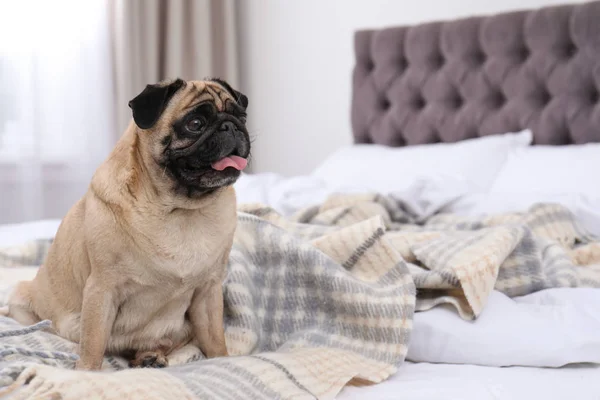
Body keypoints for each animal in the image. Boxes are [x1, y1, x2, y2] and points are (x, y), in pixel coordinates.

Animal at [3, 76, 250, 370]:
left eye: (242, 117)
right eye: (195, 123)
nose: (230, 126)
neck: (180, 209)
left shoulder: (208, 292)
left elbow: (214, 338)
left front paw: (222, 360)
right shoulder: (102, 289)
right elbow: (93, 341)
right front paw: (86, 372)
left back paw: (150, 356)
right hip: (20, 297)